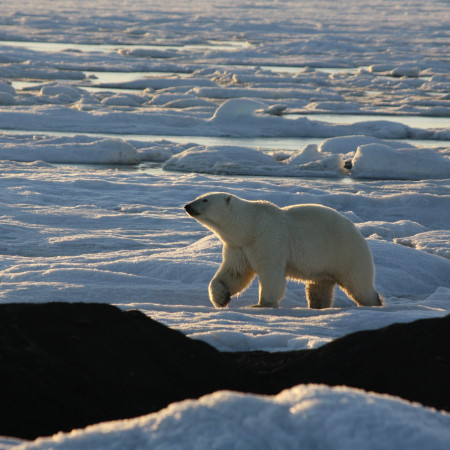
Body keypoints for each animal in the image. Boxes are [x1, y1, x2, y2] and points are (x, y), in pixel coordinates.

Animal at [185, 192, 382, 308]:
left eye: (205, 199)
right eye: (201, 196)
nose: (187, 206)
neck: (250, 227)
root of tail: (357, 232)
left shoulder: (268, 238)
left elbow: (271, 273)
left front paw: (262, 304)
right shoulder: (239, 246)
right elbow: (234, 273)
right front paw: (221, 297)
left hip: (345, 253)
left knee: (359, 284)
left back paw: (374, 302)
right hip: (326, 266)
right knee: (319, 288)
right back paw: (317, 306)